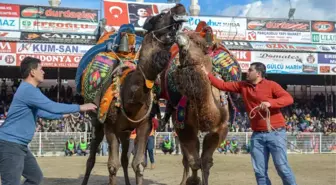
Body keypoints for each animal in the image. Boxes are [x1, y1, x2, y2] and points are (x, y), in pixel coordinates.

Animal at [77, 3, 189, 185]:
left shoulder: (144, 126)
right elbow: (112, 165)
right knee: (91, 158)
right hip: (98, 123)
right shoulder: (109, 126)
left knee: (124, 158)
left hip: (126, 132)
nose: (179, 7)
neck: (129, 95)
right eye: (160, 15)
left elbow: (138, 164)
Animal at [160, 24, 242, 185]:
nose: (179, 37)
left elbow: (206, 161)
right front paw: (192, 180)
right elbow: (194, 161)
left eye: (199, 43)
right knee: (186, 158)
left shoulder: (221, 127)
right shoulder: (183, 126)